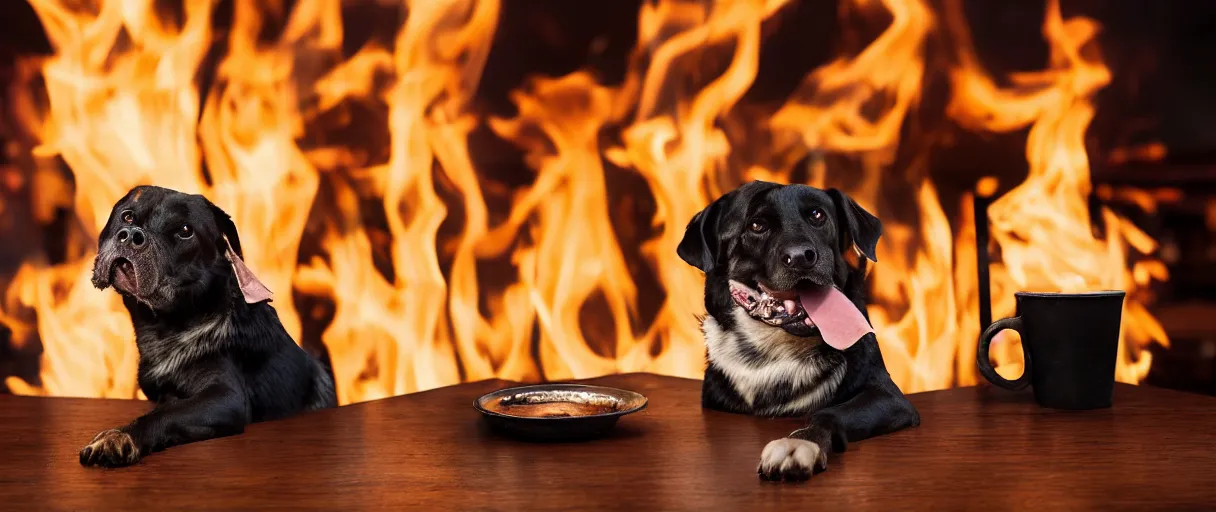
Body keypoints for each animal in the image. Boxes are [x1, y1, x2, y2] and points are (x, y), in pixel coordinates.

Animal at [79, 184, 338, 467]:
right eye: (127, 217)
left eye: (185, 231)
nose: (131, 235)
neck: (167, 323)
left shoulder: (225, 396)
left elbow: (170, 412)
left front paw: (121, 436)